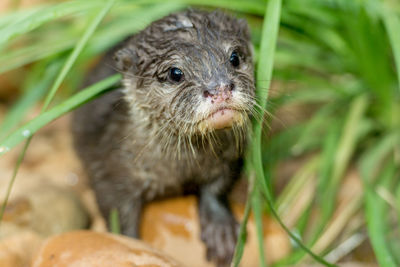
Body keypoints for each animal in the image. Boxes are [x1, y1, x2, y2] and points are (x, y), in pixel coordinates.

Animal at [72, 8, 255, 267]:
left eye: (235, 57)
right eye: (175, 73)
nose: (219, 89)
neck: (179, 168)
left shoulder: (229, 156)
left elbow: (217, 187)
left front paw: (220, 230)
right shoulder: (108, 173)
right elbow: (116, 213)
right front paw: (127, 246)